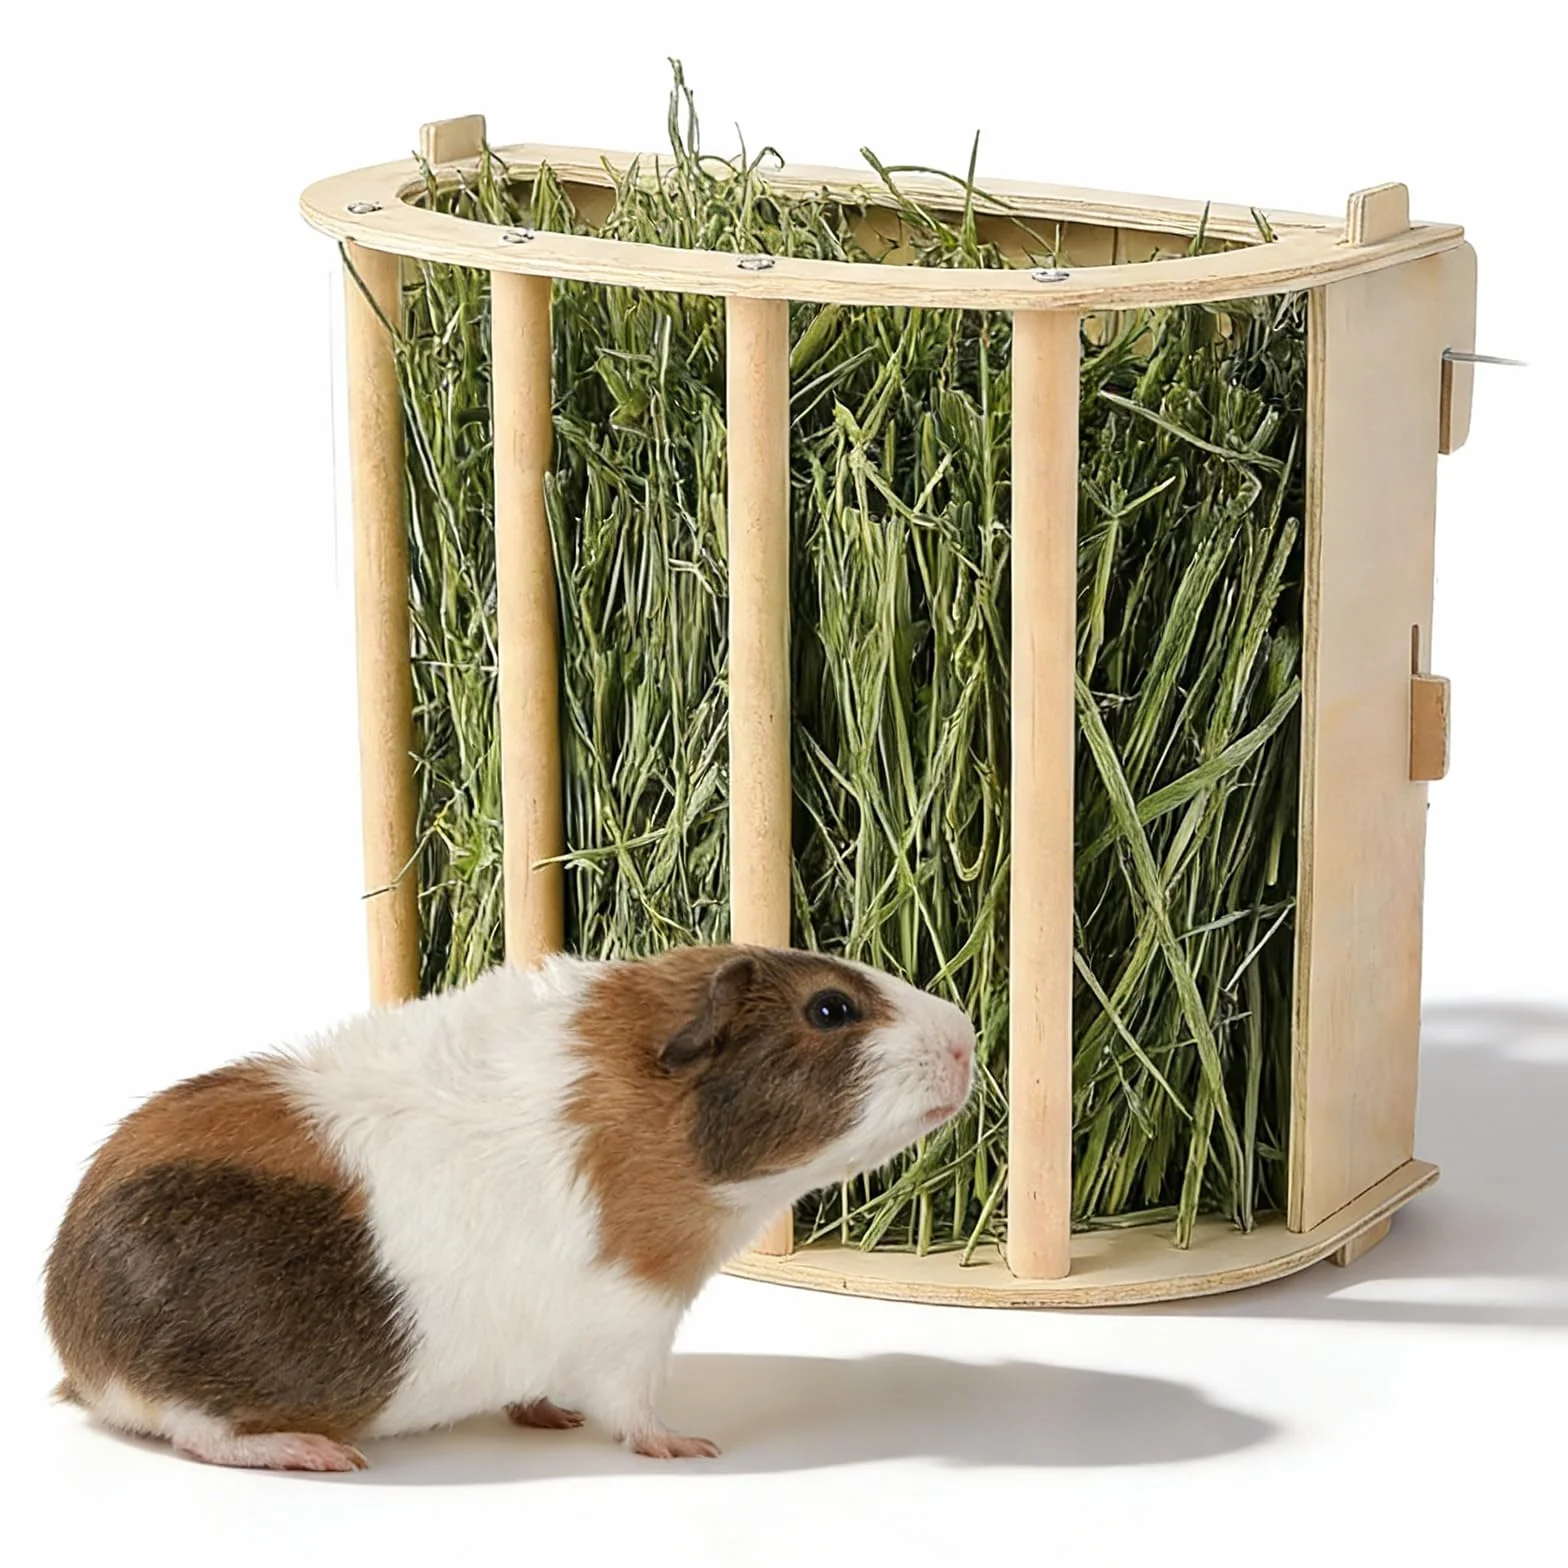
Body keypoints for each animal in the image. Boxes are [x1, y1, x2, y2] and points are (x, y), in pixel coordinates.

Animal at [44, 943, 976, 1472]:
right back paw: (321, 1455)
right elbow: (634, 1410)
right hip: (195, 1396)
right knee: (202, 1436)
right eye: (831, 1008)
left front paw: (549, 1416)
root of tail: (78, 1349)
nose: (967, 1035)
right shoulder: (634, 1323)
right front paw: (689, 1448)